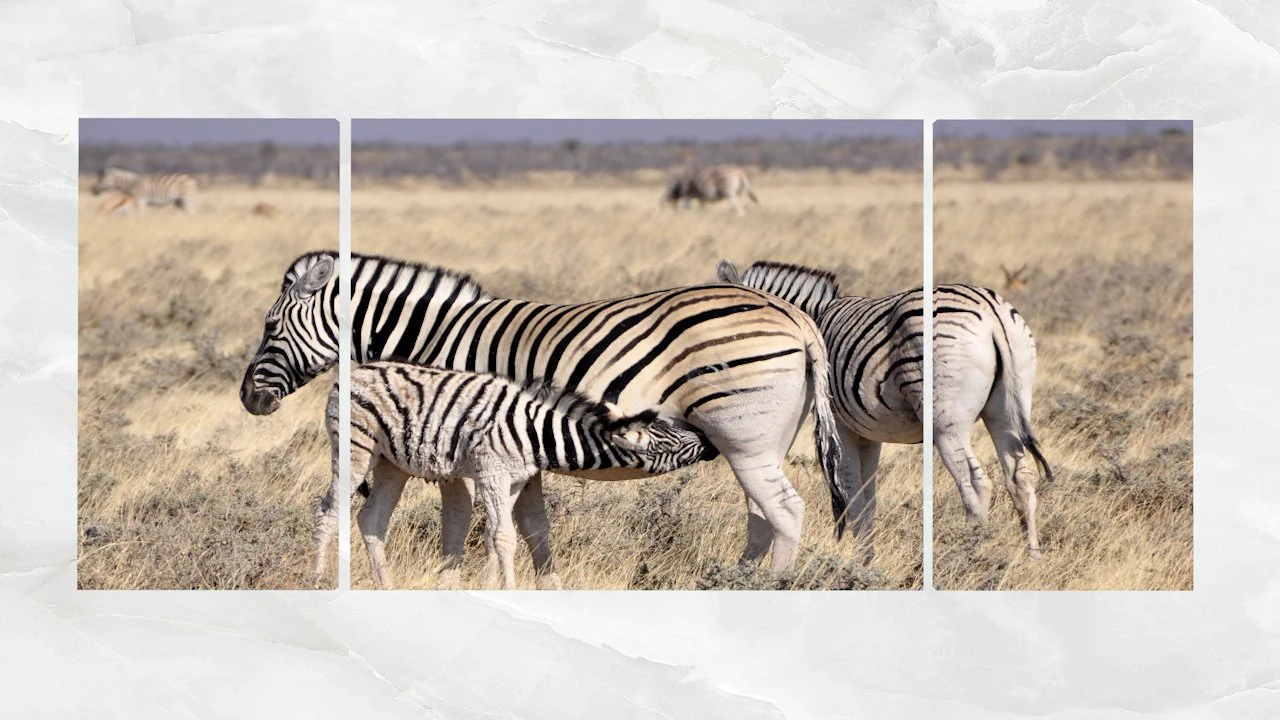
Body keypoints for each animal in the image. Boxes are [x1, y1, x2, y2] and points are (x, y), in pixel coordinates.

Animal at [313, 362, 716, 590]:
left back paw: (386, 587)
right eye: (667, 436)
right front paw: (510, 590)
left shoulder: (514, 479)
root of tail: (354, 372)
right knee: (329, 511)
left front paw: (490, 588)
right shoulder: (491, 471)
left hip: (390, 462)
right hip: (355, 447)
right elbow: (505, 537)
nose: (710, 441)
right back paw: (318, 580)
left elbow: (495, 536)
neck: (534, 430)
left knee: (372, 518)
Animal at [717, 260, 1053, 557]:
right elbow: (868, 500)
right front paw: (865, 561)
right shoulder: (869, 434)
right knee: (1020, 478)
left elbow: (852, 497)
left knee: (975, 484)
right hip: (1006, 407)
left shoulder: (841, 426)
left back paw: (969, 554)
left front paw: (857, 563)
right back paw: (1032, 558)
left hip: (946, 422)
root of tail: (990, 310)